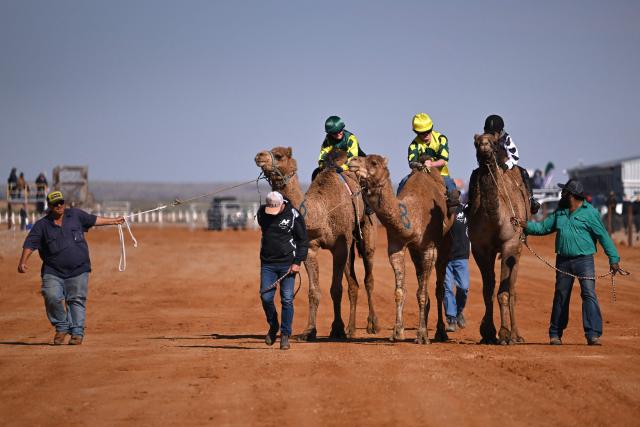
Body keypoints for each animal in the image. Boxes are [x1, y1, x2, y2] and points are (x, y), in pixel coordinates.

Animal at [254, 147, 378, 340]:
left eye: (279, 155)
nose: (259, 156)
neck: (322, 212)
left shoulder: (339, 247)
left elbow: (336, 289)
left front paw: (337, 329)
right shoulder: (310, 247)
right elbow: (314, 291)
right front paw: (309, 331)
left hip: (366, 230)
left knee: (368, 278)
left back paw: (369, 325)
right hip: (350, 244)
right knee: (353, 283)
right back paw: (352, 328)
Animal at [349, 155, 455, 344]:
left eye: (374, 162)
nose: (352, 160)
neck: (413, 215)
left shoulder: (429, 248)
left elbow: (423, 292)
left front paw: (422, 335)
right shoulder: (396, 247)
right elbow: (400, 291)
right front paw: (397, 332)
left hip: (444, 243)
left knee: (439, 288)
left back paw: (440, 332)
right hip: (415, 252)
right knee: (421, 279)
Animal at [467, 133, 531, 345]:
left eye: (494, 142)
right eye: (476, 143)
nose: (484, 146)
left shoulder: (509, 245)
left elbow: (504, 292)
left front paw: (504, 334)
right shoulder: (480, 248)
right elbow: (487, 290)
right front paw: (487, 332)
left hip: (518, 248)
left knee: (512, 289)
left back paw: (516, 335)